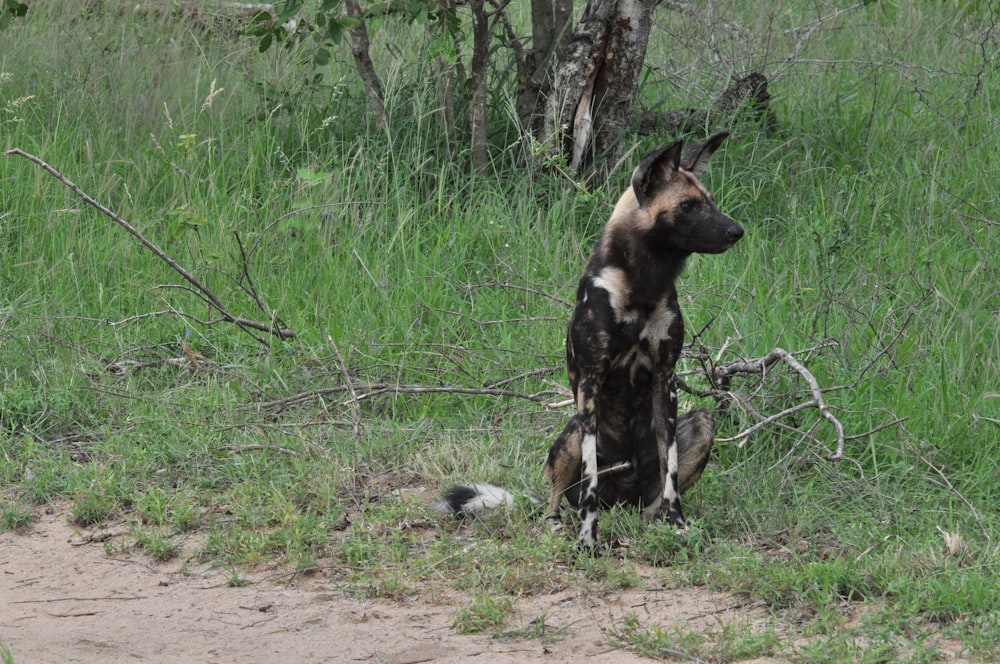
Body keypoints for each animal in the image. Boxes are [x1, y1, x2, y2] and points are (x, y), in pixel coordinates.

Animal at [442, 131, 740, 548]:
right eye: (687, 206)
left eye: (709, 202)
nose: (736, 231)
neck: (643, 284)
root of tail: (624, 503)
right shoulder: (590, 381)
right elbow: (590, 485)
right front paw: (587, 540)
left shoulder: (665, 381)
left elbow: (670, 471)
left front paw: (677, 523)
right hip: (570, 433)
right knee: (559, 499)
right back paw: (556, 523)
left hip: (700, 424)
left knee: (656, 492)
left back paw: (655, 518)